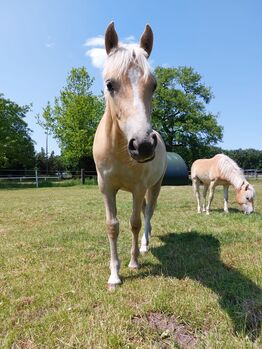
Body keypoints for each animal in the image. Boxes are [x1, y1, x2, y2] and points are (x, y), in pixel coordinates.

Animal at [93, 22, 167, 288]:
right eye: (109, 84)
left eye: (153, 85)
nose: (143, 145)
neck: (119, 150)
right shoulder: (106, 188)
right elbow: (112, 226)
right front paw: (114, 275)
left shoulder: (137, 188)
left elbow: (135, 223)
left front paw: (134, 262)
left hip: (154, 187)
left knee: (148, 213)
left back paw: (145, 245)